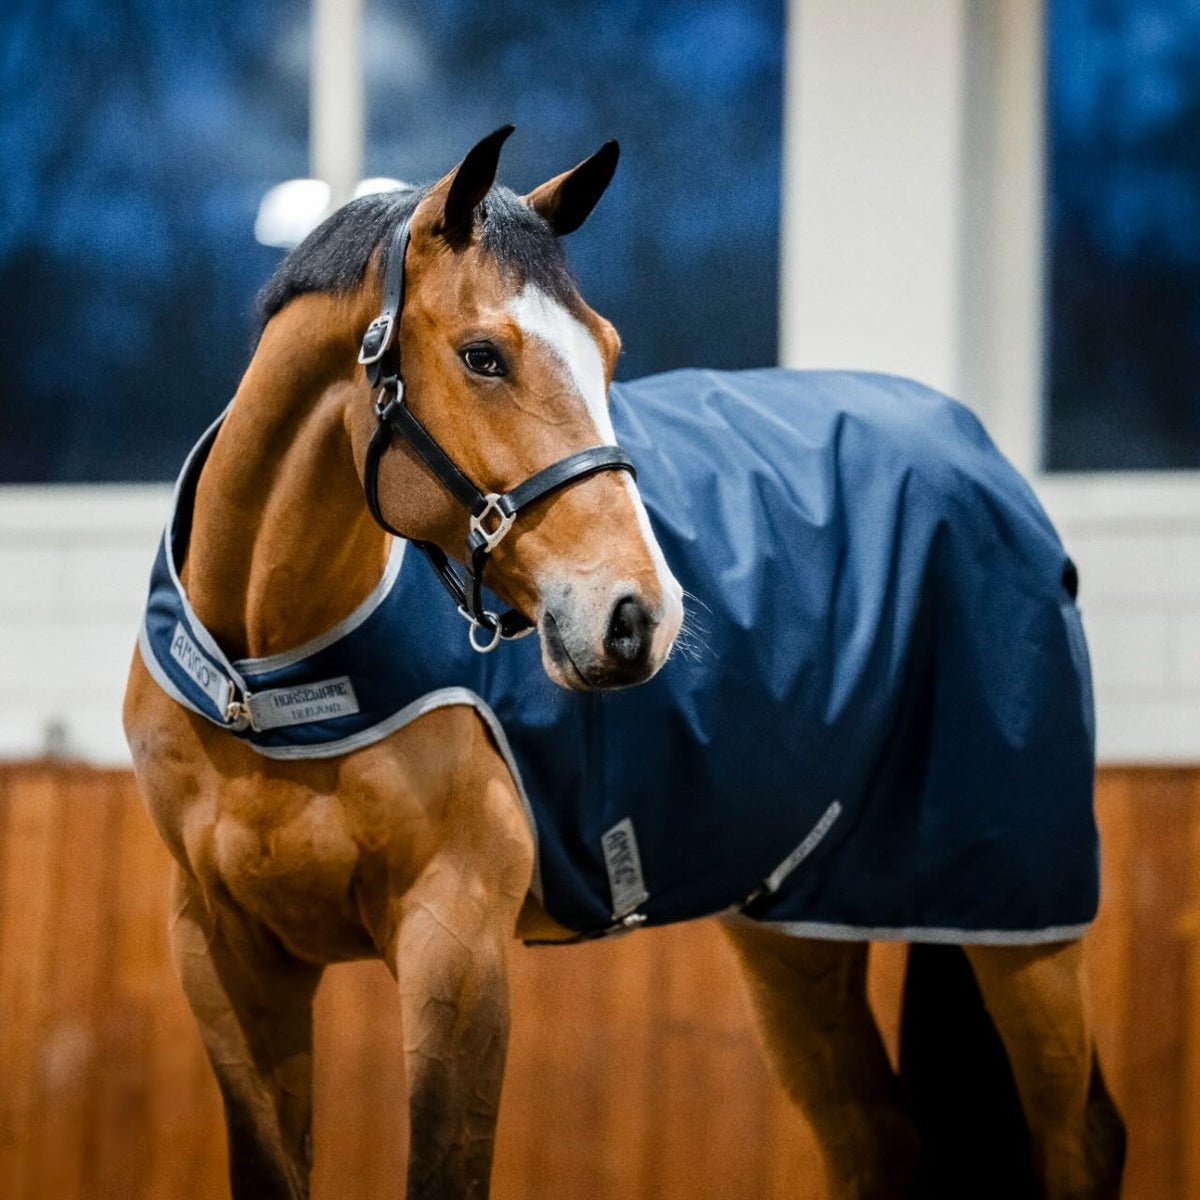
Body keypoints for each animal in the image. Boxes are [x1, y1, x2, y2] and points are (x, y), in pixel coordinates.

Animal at [124, 127, 1125, 1199]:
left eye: (606, 353)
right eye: (482, 355)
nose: (639, 615)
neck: (265, 683)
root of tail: (983, 459)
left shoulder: (454, 942)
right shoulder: (227, 963)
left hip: (1020, 920)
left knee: (1081, 1138)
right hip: (796, 933)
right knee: (877, 1146)